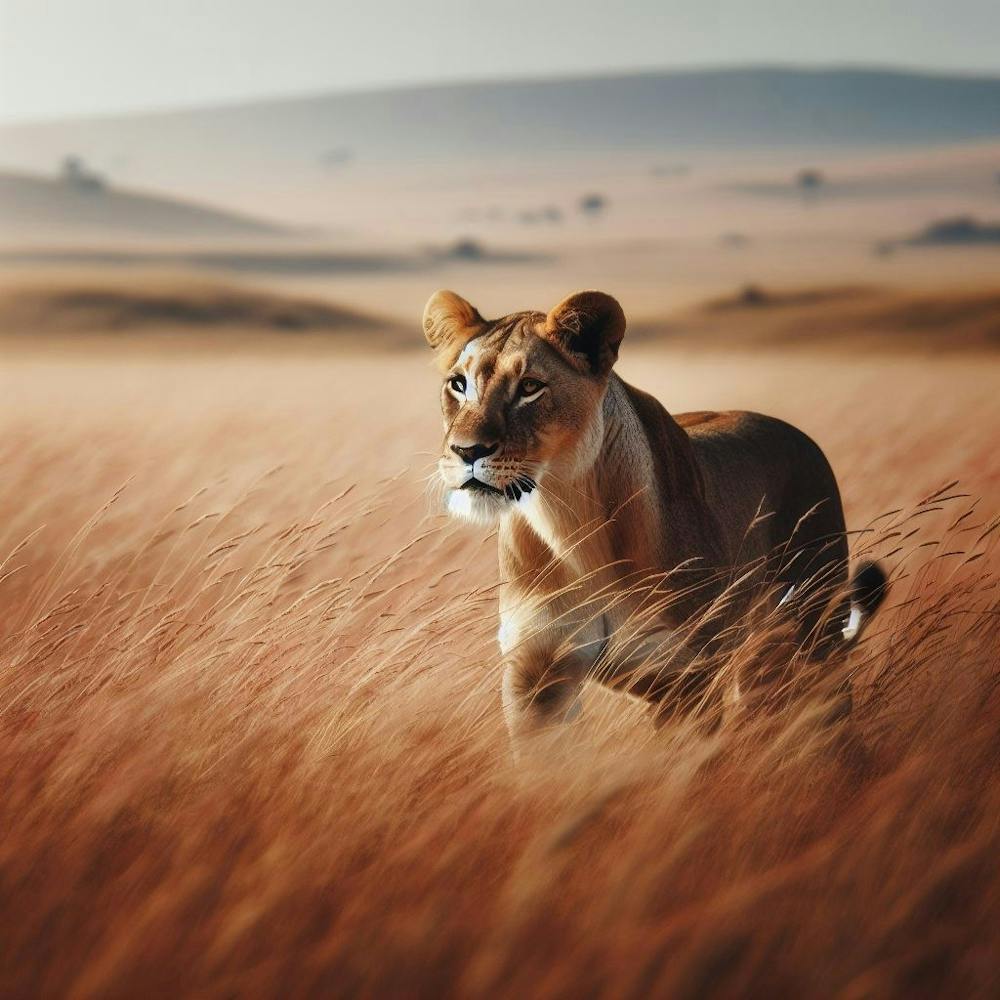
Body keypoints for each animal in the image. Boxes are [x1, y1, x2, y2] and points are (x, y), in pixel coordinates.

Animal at [423, 289, 887, 750]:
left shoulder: (681, 677)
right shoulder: (537, 675)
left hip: (815, 632)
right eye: (458, 384)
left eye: (530, 388)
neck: (570, 521)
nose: (466, 451)